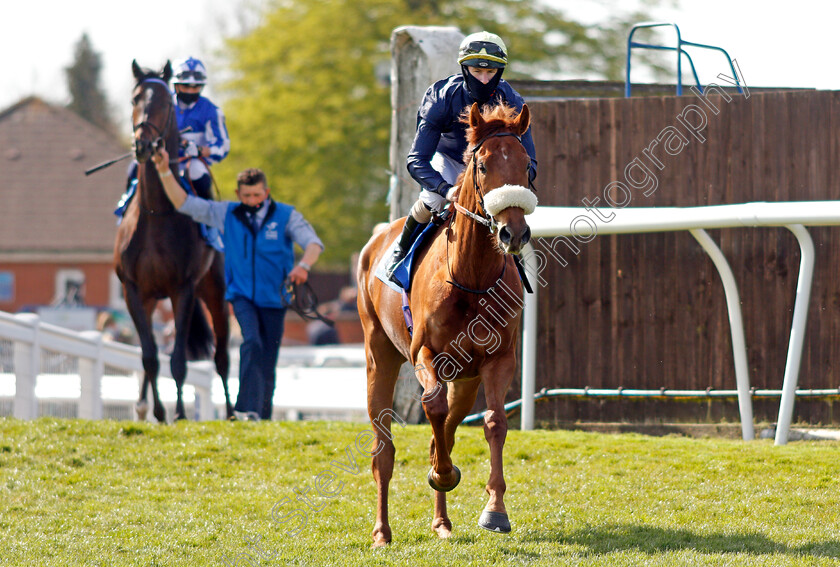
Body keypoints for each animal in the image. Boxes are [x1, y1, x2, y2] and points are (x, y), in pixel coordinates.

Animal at [113, 62, 233, 424]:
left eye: (166, 102)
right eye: (135, 98)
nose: (143, 145)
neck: (156, 213)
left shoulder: (184, 288)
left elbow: (178, 359)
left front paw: (179, 413)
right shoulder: (133, 290)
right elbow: (149, 356)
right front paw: (156, 410)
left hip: (215, 291)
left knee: (222, 357)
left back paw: (233, 412)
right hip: (153, 298)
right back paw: (143, 407)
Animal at [358, 101, 536, 544]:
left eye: (526, 164)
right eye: (483, 165)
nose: (513, 233)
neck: (470, 277)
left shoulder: (498, 359)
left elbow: (493, 422)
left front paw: (495, 510)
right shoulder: (425, 352)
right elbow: (433, 405)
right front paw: (443, 474)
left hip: (466, 379)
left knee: (450, 431)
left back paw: (442, 522)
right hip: (379, 355)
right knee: (383, 448)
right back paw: (382, 532)